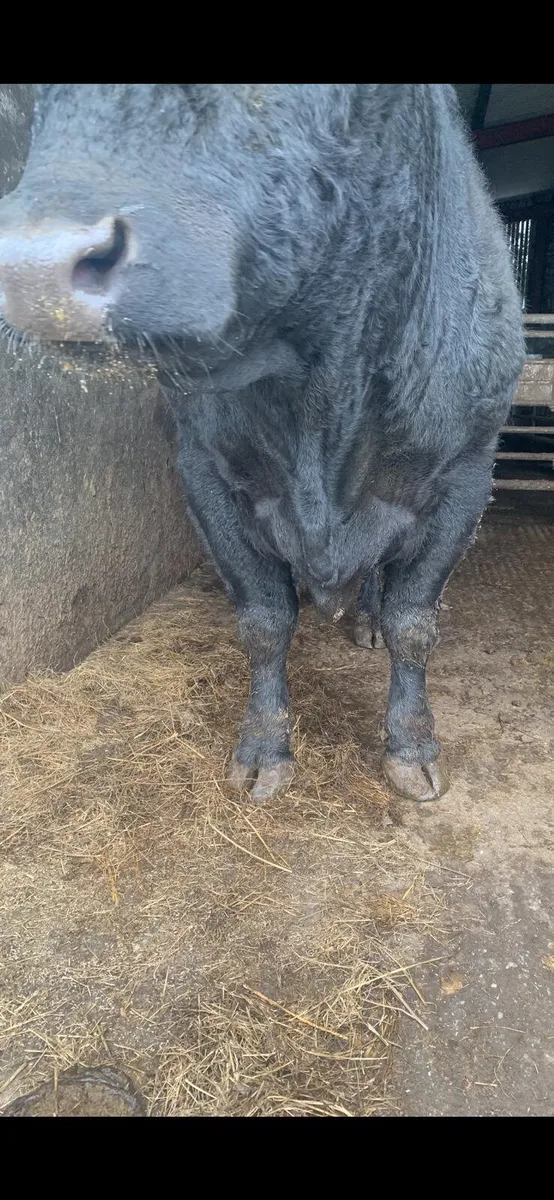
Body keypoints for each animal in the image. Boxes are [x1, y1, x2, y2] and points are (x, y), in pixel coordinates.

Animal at [0, 85, 525, 803]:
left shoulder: (466, 477)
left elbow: (414, 623)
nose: (33, 270)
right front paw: (264, 750)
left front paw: (412, 748)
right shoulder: (206, 475)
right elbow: (265, 620)